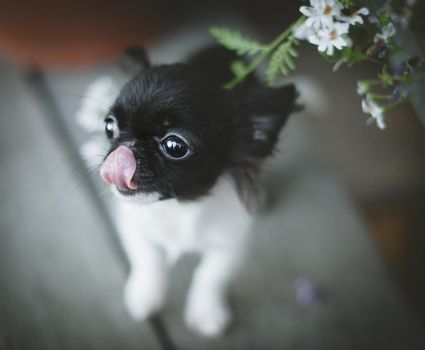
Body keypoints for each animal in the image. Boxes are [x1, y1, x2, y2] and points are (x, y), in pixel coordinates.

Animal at [99, 46, 294, 336]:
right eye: (110, 127)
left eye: (175, 146)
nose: (125, 148)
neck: (180, 205)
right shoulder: (133, 226)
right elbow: (148, 260)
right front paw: (145, 295)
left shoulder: (229, 244)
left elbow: (210, 275)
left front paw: (206, 312)